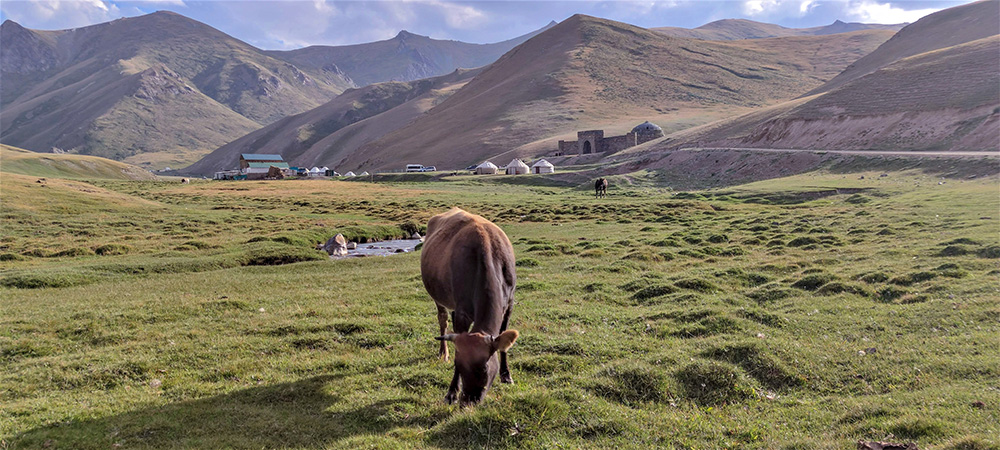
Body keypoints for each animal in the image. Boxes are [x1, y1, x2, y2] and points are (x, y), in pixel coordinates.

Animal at [418, 209, 520, 406]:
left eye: (484, 368)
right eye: (460, 365)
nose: (468, 401)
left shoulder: (510, 304)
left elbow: (503, 340)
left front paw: (506, 375)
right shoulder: (463, 313)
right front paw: (451, 392)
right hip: (438, 297)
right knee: (443, 320)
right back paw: (443, 353)